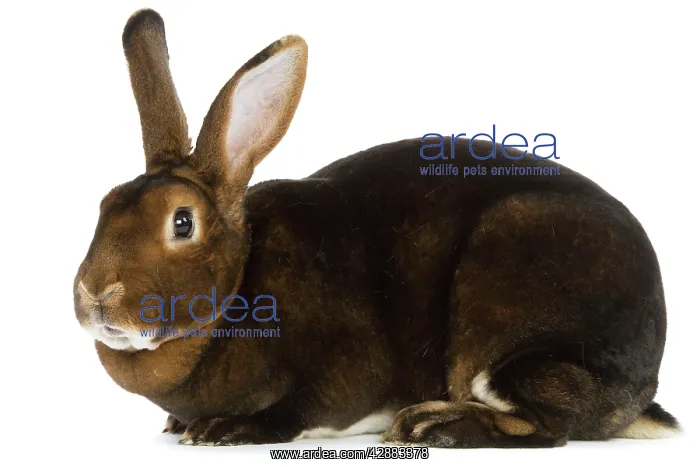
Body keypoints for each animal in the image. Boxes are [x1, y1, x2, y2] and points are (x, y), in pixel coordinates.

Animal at [73, 8, 680, 448]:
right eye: (103, 206)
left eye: (182, 222)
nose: (96, 296)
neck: (239, 286)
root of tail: (642, 388)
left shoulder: (344, 369)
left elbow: (301, 409)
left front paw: (225, 430)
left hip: (513, 327)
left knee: (546, 427)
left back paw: (430, 426)